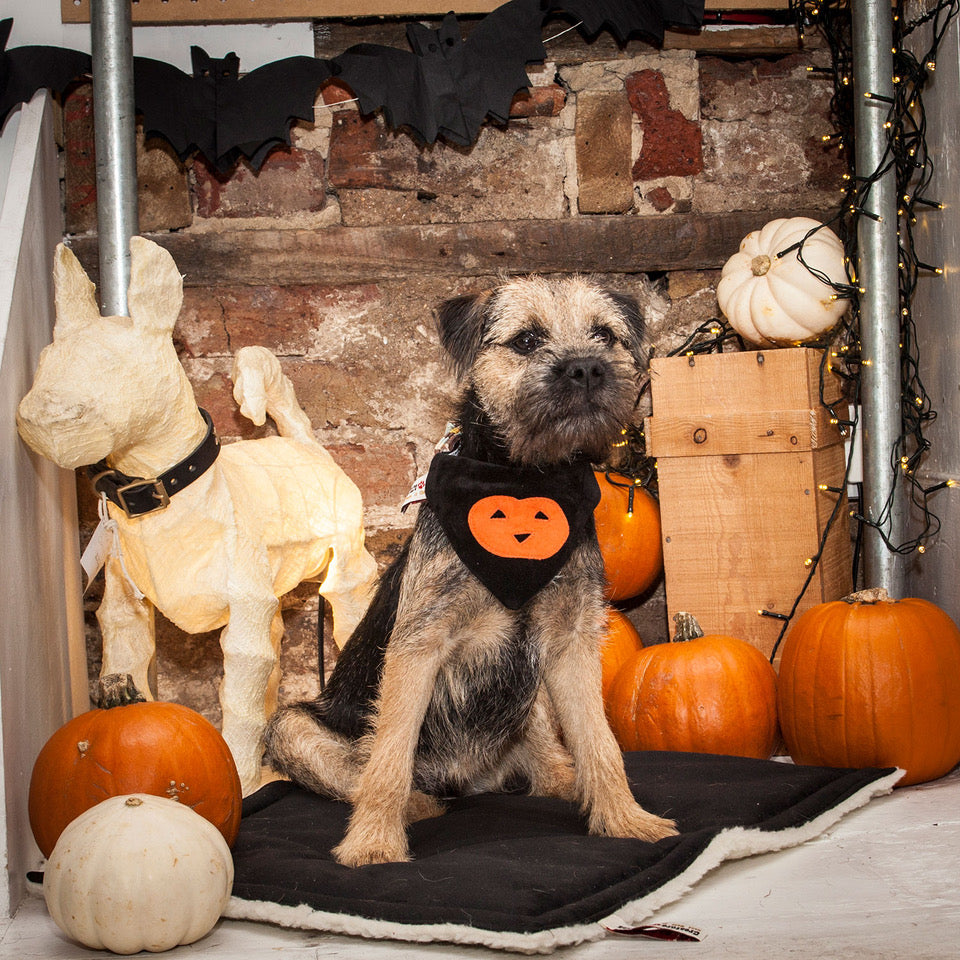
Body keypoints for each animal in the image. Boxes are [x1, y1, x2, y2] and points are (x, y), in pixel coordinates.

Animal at [262, 274, 676, 868]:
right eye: (526, 340)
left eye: (604, 334)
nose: (587, 368)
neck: (525, 479)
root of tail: (470, 779)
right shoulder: (419, 646)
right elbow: (389, 755)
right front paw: (373, 843)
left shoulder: (571, 643)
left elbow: (600, 742)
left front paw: (625, 820)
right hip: (292, 726)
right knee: (361, 771)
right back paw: (417, 804)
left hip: (527, 702)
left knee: (547, 750)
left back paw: (562, 778)